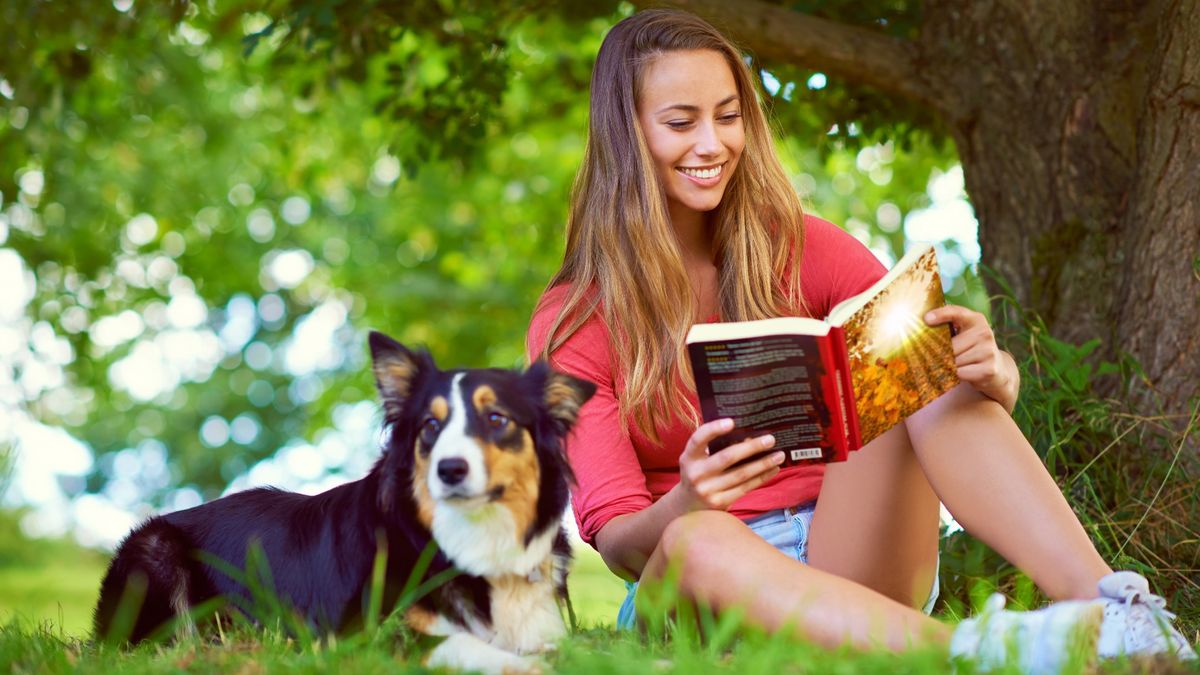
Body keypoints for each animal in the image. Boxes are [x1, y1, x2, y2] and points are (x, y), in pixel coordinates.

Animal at [93, 329, 595, 667]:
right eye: (430, 426)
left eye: (496, 419)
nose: (450, 470)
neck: (475, 537)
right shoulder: (370, 630)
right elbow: (469, 645)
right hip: (154, 548)